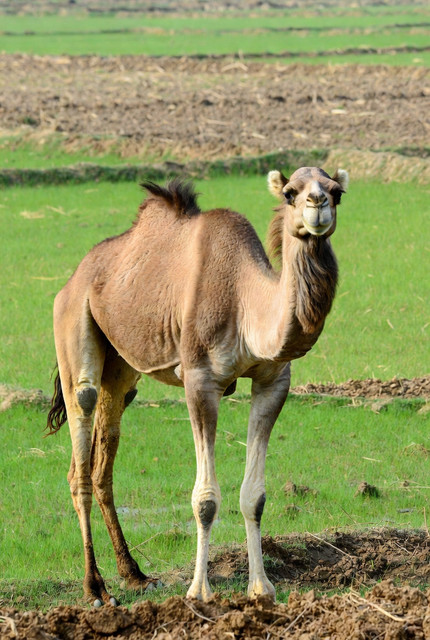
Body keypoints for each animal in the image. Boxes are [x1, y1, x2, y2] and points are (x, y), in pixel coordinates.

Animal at [46, 166, 348, 605]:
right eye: (291, 192)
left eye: (337, 191)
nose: (318, 205)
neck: (247, 304)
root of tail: (73, 279)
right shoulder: (201, 380)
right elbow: (205, 500)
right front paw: (199, 591)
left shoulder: (273, 382)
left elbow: (255, 496)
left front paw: (261, 588)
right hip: (73, 326)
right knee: (81, 441)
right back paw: (96, 588)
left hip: (122, 368)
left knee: (104, 459)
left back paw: (135, 575)